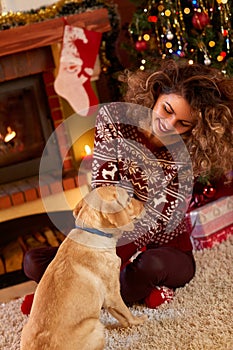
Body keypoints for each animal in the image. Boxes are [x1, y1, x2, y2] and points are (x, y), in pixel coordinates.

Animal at [20, 186, 147, 350]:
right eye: (129, 198)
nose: (145, 205)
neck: (93, 232)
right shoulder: (112, 294)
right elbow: (127, 312)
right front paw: (138, 320)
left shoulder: (108, 300)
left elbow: (121, 317)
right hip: (96, 325)